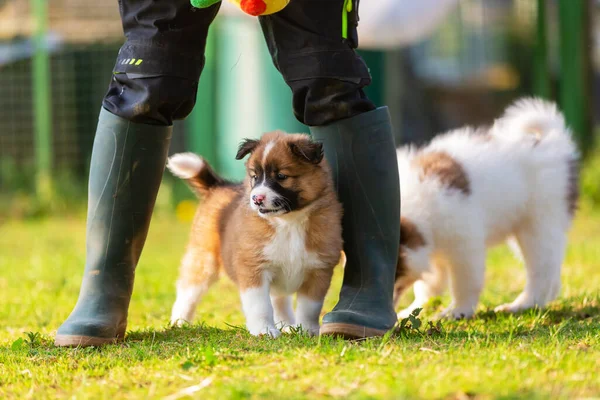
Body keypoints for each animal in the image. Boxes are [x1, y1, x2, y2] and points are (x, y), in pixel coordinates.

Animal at [166, 132, 342, 338]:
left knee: (280, 300)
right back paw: (179, 322)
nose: (256, 199)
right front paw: (264, 330)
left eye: (281, 176)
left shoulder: (319, 270)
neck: (289, 222)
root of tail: (218, 186)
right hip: (203, 260)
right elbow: (260, 306)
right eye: (255, 177)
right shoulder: (254, 268)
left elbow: (309, 308)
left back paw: (286, 325)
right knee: (188, 293)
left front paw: (307, 331)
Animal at [392, 98, 580, 320]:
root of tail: (551, 141)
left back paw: (522, 305)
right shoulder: (431, 245)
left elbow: (465, 282)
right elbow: (429, 283)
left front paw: (457, 312)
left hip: (540, 222)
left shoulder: (464, 244)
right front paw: (415, 309)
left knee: (542, 269)